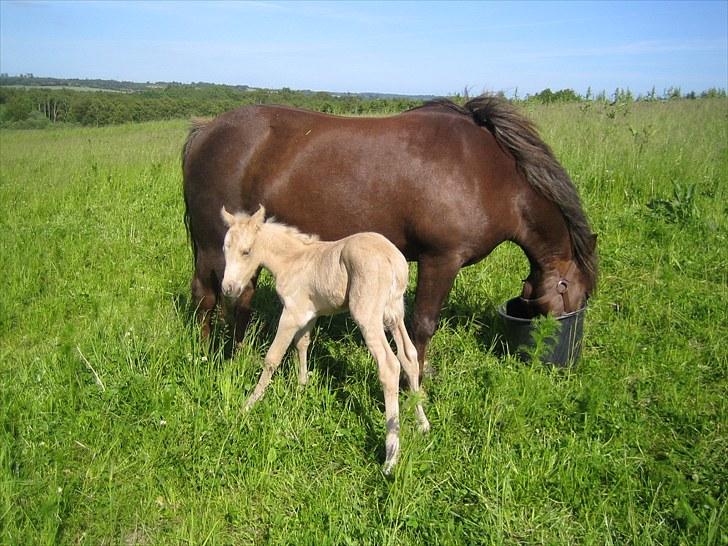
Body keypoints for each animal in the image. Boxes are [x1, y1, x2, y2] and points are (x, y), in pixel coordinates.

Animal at [183, 95, 596, 372]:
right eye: (577, 300)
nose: (566, 362)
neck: (490, 174)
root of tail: (206, 131)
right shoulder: (440, 259)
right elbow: (423, 325)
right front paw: (420, 378)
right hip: (214, 247)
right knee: (208, 297)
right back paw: (206, 354)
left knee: (240, 299)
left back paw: (237, 354)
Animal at [219, 204, 430, 472]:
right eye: (225, 248)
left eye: (246, 251)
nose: (228, 289)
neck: (292, 260)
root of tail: (394, 260)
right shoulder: (309, 313)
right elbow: (302, 345)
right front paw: (301, 388)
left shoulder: (291, 313)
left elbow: (272, 358)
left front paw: (248, 405)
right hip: (394, 312)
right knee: (409, 356)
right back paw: (422, 423)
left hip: (367, 314)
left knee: (389, 365)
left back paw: (391, 456)